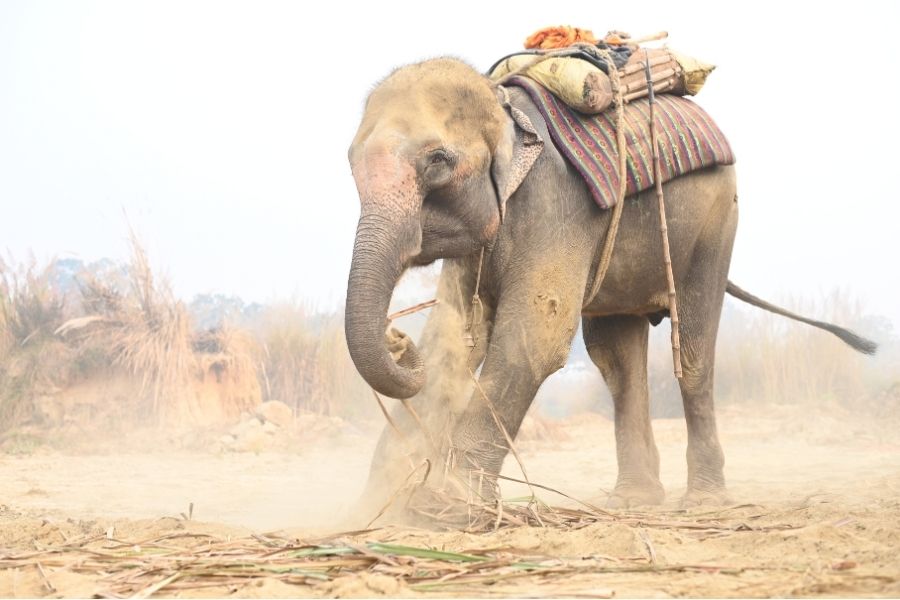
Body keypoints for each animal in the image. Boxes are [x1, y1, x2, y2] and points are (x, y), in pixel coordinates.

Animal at [344, 57, 877, 516]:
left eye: (437, 160)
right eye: (350, 163)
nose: (396, 336)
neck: (502, 107)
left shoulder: (555, 206)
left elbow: (531, 341)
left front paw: (443, 509)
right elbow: (450, 342)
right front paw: (371, 508)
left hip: (716, 221)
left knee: (693, 353)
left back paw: (702, 501)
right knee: (617, 362)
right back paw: (634, 500)